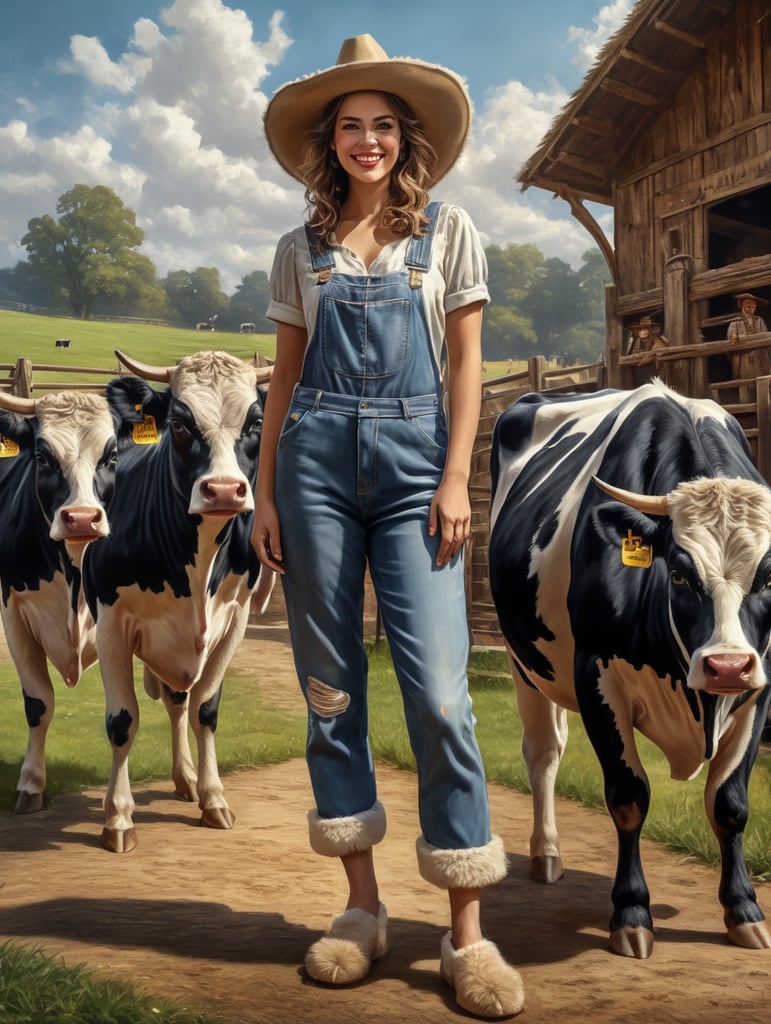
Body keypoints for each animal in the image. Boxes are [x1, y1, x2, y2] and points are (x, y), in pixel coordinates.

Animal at [0, 391, 117, 815]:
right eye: (42, 456)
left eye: (111, 455)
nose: (81, 518)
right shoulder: (13, 613)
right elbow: (39, 703)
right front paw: (31, 786)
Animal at [82, 348, 274, 851]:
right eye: (181, 424)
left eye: (255, 422)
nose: (224, 490)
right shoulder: (111, 625)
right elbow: (122, 721)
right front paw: (118, 817)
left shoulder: (234, 621)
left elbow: (205, 709)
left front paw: (212, 797)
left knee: (178, 703)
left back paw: (186, 778)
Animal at [487, 378, 769, 958]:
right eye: (680, 573)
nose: (727, 666)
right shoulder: (596, 674)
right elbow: (628, 797)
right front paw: (631, 912)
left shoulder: (762, 686)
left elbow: (730, 802)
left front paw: (743, 910)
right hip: (523, 662)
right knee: (543, 753)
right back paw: (546, 854)